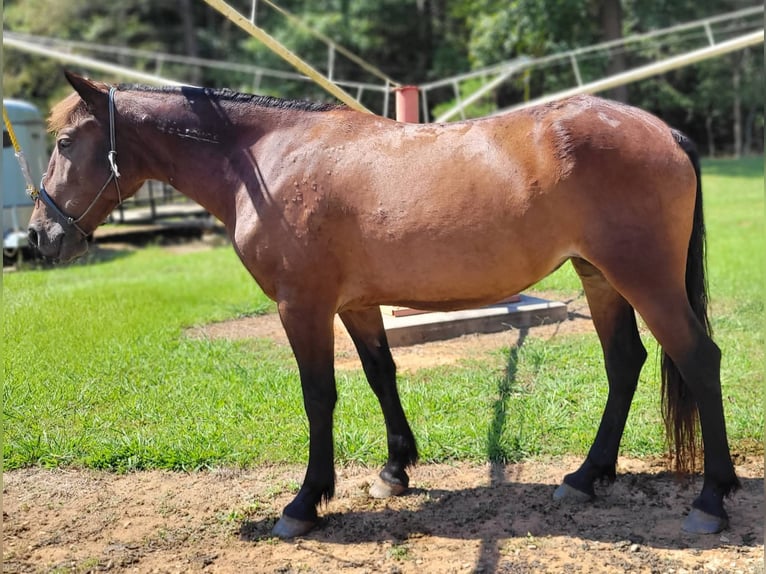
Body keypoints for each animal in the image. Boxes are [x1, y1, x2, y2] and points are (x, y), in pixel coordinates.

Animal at [28, 71, 740, 538]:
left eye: (63, 143)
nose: (40, 237)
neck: (267, 159)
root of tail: (665, 133)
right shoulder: (354, 305)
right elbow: (380, 375)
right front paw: (396, 469)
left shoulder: (303, 306)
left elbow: (320, 395)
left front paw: (305, 503)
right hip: (600, 279)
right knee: (625, 364)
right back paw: (587, 476)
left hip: (643, 279)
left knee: (699, 359)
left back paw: (710, 499)